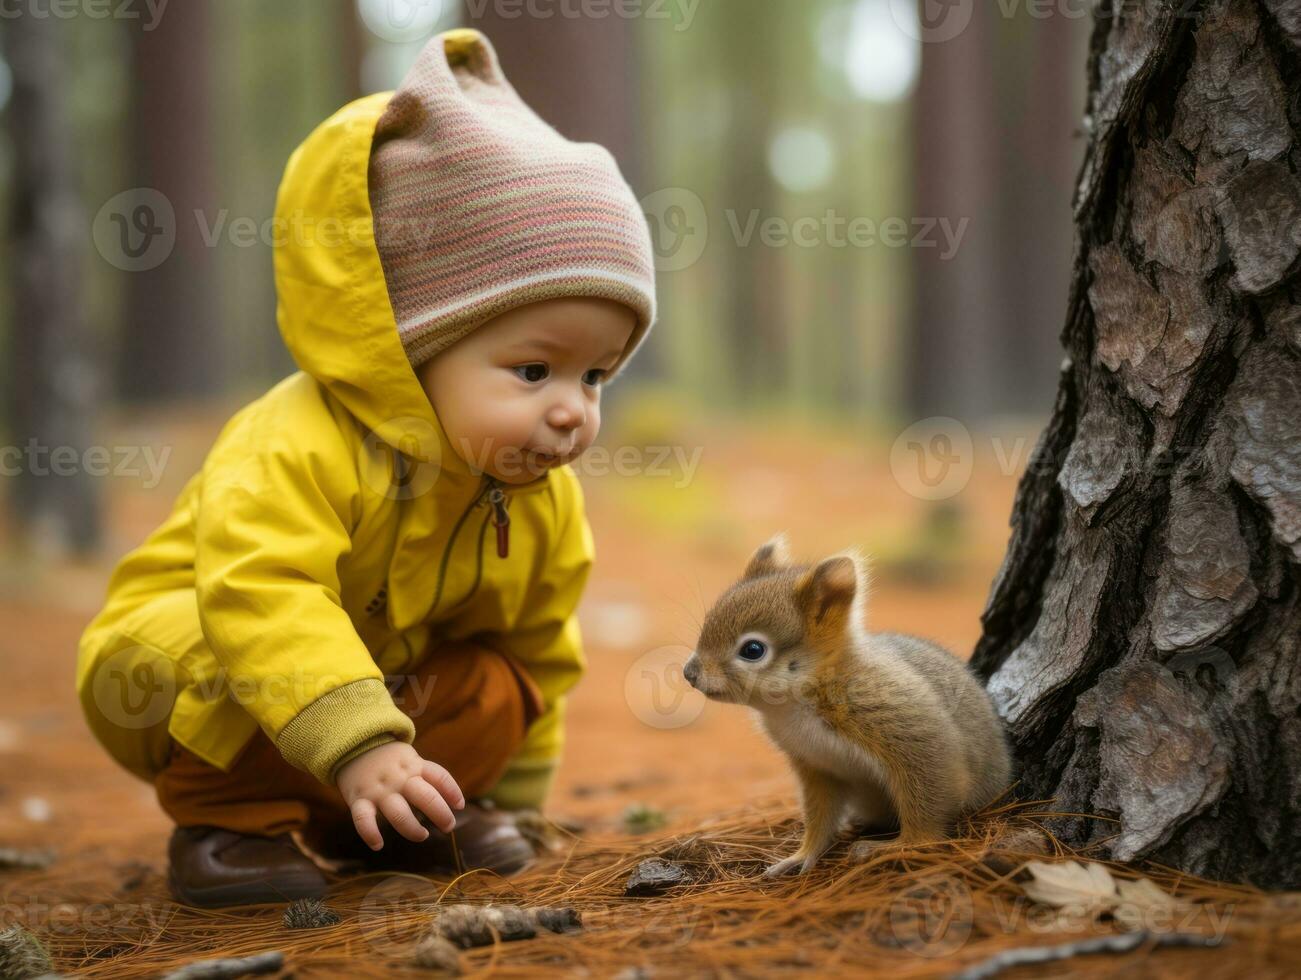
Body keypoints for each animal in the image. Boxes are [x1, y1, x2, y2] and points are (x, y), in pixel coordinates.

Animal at [686, 530, 1009, 874]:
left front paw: (908, 844)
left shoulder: (906, 726)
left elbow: (930, 786)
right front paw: (801, 856)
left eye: (753, 650)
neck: (792, 707)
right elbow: (820, 817)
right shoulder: (816, 765)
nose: (688, 673)